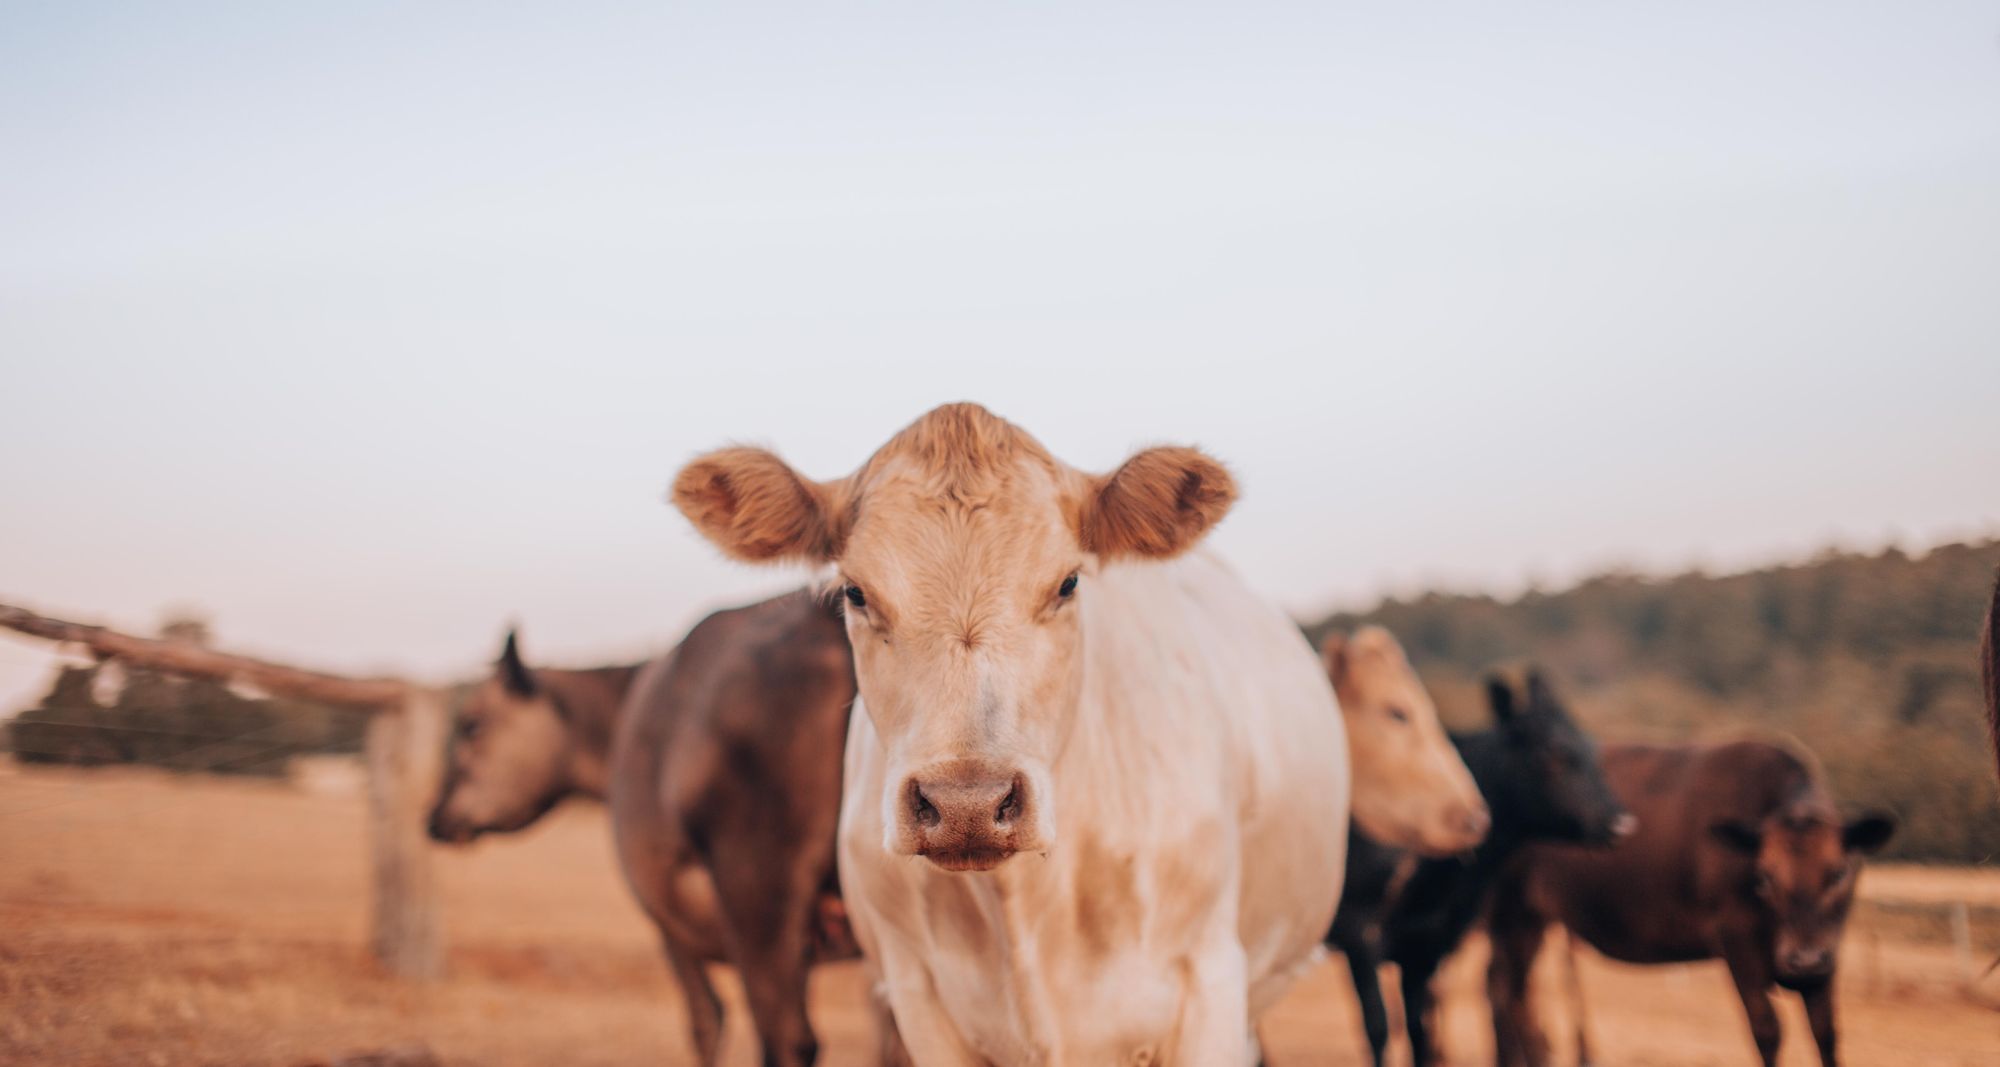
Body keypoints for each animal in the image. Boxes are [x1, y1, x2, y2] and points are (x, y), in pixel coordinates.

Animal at [426, 592, 875, 1067]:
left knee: (787, 1038)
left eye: (471, 725)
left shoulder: (666, 919)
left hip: (757, 896)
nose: (434, 817)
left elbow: (706, 1020)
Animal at [1325, 669, 1632, 1067]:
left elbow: (1419, 1029)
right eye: (1553, 754)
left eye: (1591, 749)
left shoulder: (1428, 946)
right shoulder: (1359, 933)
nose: (1621, 823)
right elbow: (1378, 1027)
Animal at [1487, 738, 1897, 1067]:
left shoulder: (1827, 958)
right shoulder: (1737, 943)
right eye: (1764, 877)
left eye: (1839, 873)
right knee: (1513, 997)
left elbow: (1826, 1033)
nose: (1804, 958)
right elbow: (1767, 1030)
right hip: (1514, 913)